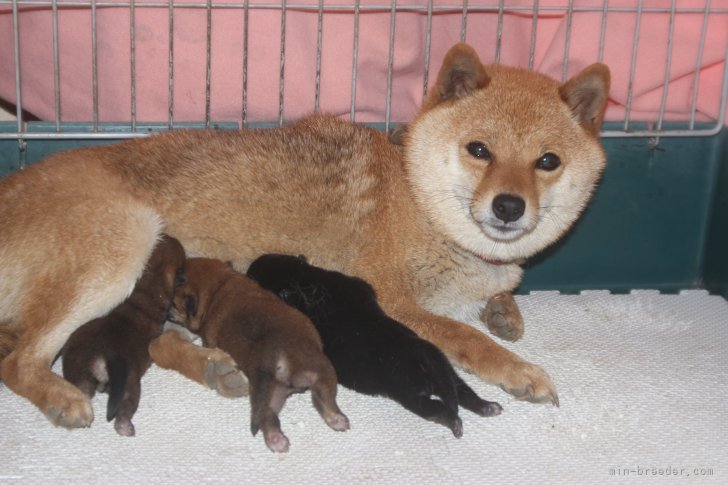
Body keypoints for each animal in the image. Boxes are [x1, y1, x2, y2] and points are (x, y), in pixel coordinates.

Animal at [60, 236, 186, 436]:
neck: (145, 290)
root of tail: (99, 356)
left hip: (78, 368)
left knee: (83, 391)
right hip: (129, 383)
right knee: (125, 408)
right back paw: (125, 426)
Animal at [168, 258, 350, 450]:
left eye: (173, 303)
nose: (166, 311)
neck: (218, 287)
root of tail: (275, 349)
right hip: (313, 376)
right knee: (321, 401)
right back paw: (331, 421)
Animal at [247, 255, 504, 436]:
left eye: (253, 275)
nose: (247, 268)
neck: (305, 279)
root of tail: (425, 356)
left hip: (411, 394)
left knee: (440, 409)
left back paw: (455, 422)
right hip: (449, 373)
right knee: (465, 393)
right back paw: (487, 406)